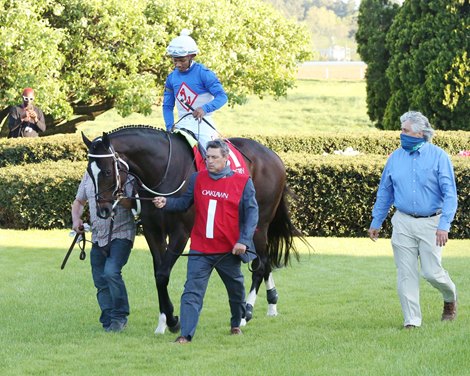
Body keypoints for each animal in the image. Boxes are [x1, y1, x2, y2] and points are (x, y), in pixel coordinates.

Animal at [82, 127, 302, 334]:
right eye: (89, 172)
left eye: (107, 171)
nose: (103, 210)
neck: (164, 172)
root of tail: (273, 155)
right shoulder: (153, 231)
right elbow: (158, 273)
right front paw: (164, 320)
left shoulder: (180, 232)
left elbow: (163, 274)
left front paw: (172, 321)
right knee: (264, 262)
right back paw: (271, 303)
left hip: (259, 224)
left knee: (260, 264)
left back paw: (245, 313)